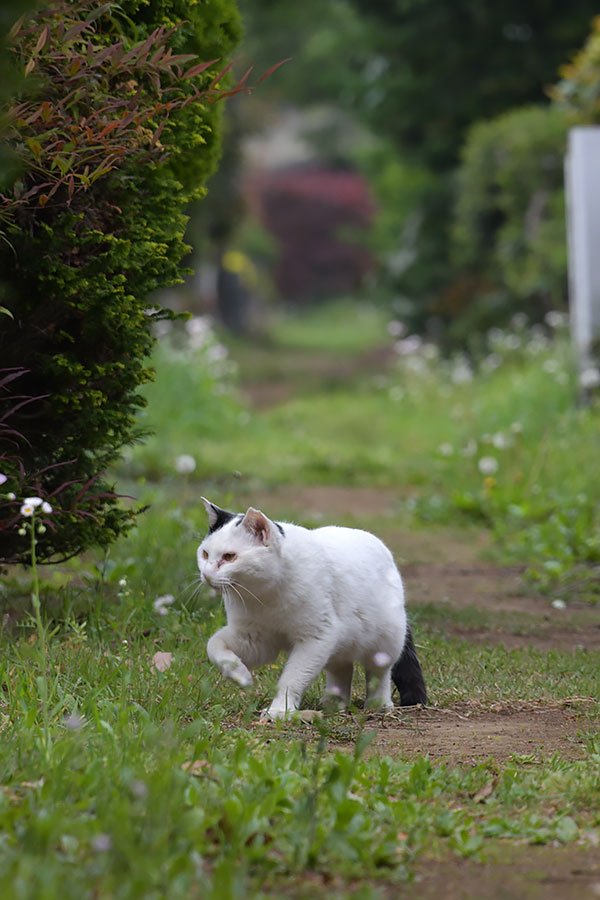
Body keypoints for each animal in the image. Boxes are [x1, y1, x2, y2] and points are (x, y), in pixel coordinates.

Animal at [197, 496, 426, 720]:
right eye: (205, 554)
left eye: (229, 557)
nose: (206, 574)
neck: (264, 597)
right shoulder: (255, 639)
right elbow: (213, 645)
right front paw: (240, 676)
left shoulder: (316, 638)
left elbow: (291, 679)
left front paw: (280, 710)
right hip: (339, 644)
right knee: (342, 669)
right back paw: (334, 703)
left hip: (385, 640)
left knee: (379, 672)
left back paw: (379, 704)